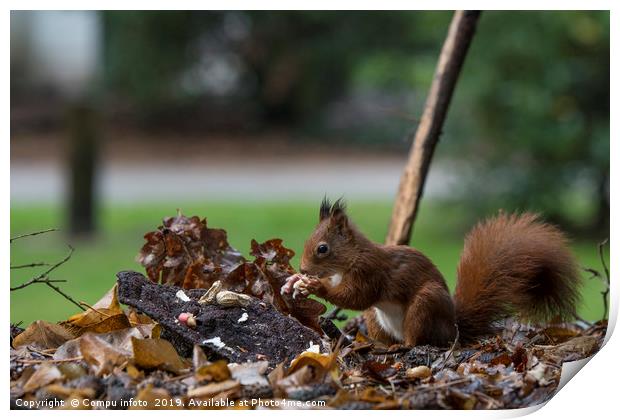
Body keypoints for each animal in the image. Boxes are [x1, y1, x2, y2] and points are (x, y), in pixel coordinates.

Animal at [284, 199, 584, 346]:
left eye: (322, 248)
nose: (303, 268)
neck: (348, 261)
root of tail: (453, 329)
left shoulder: (370, 271)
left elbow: (356, 297)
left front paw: (315, 287)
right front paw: (295, 282)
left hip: (425, 304)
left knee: (416, 340)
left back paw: (404, 345)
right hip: (375, 319)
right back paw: (378, 345)